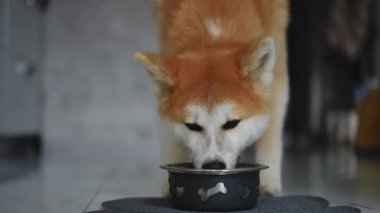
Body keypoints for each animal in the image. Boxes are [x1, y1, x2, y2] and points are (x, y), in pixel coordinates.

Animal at [135, 0, 290, 196]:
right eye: (192, 126)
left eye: (232, 123)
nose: (214, 165)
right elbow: (171, 139)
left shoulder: (278, 76)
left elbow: (271, 131)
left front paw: (268, 182)